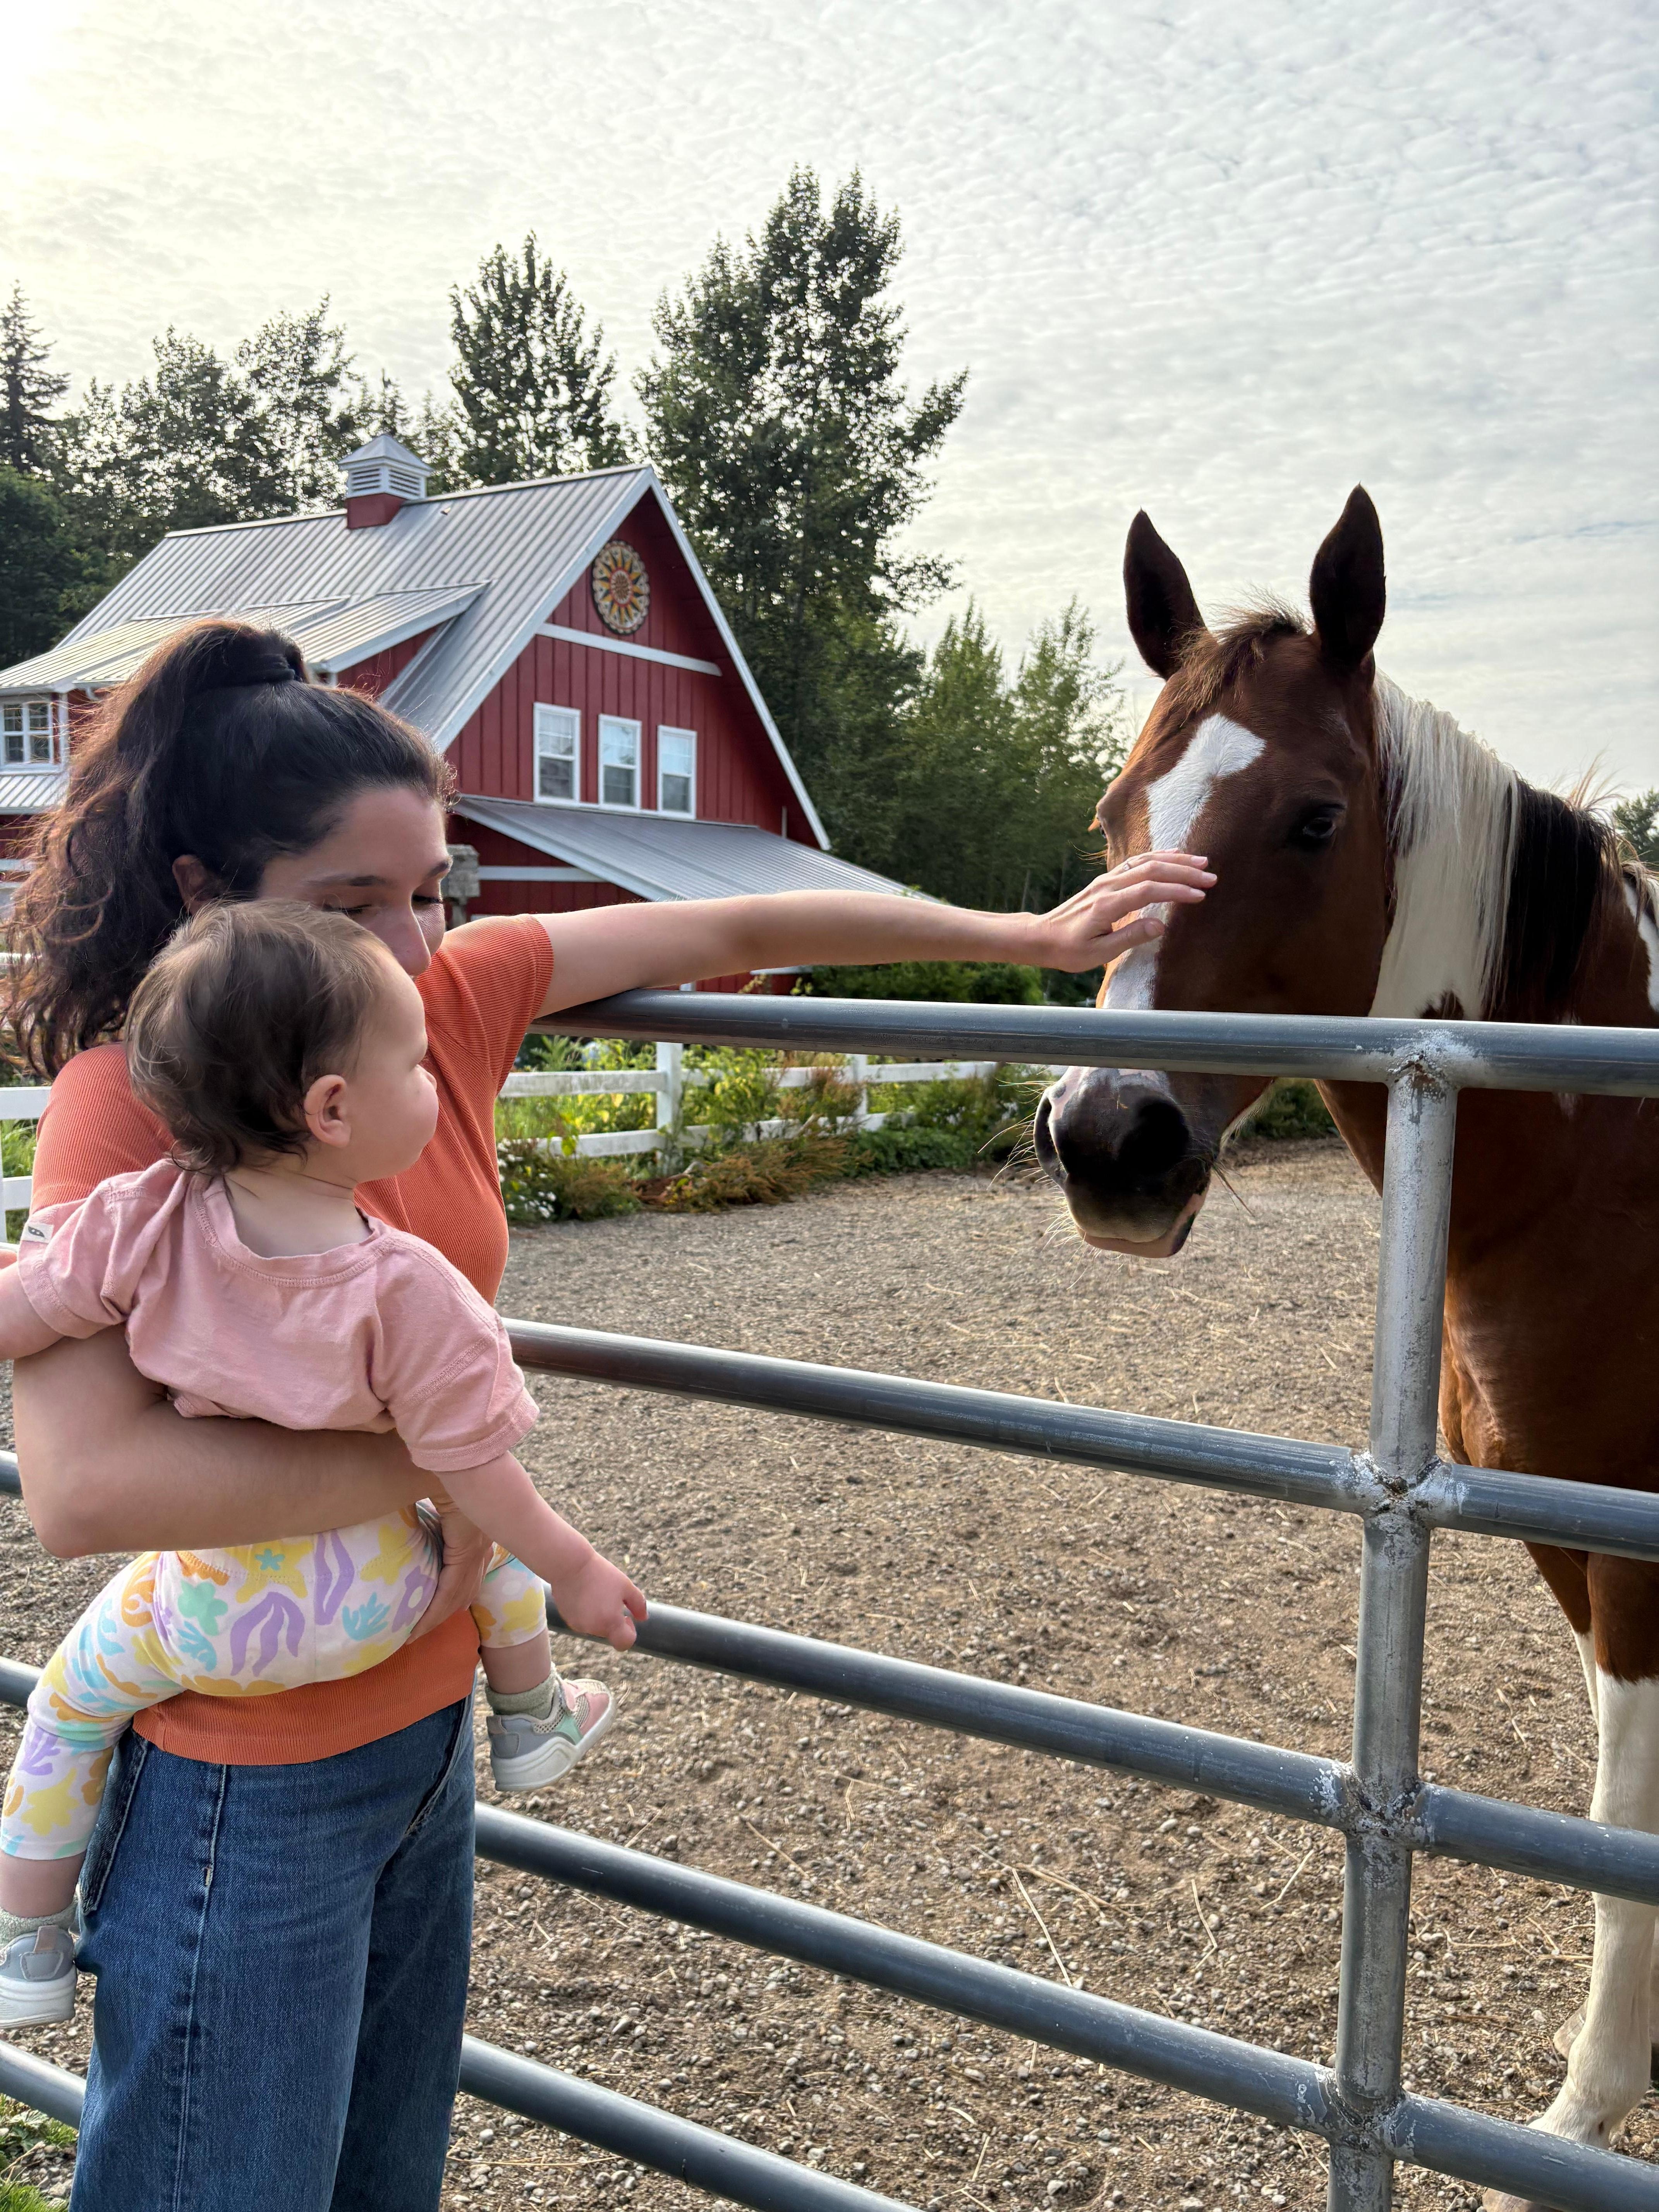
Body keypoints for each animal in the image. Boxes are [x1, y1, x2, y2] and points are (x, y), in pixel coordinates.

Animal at [1032, 488, 1659, 2207]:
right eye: (1115, 814)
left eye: (1315, 820)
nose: (1108, 1135)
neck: (1614, 1168)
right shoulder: (1568, 1551)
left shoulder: (1638, 1572)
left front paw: (1586, 2110)